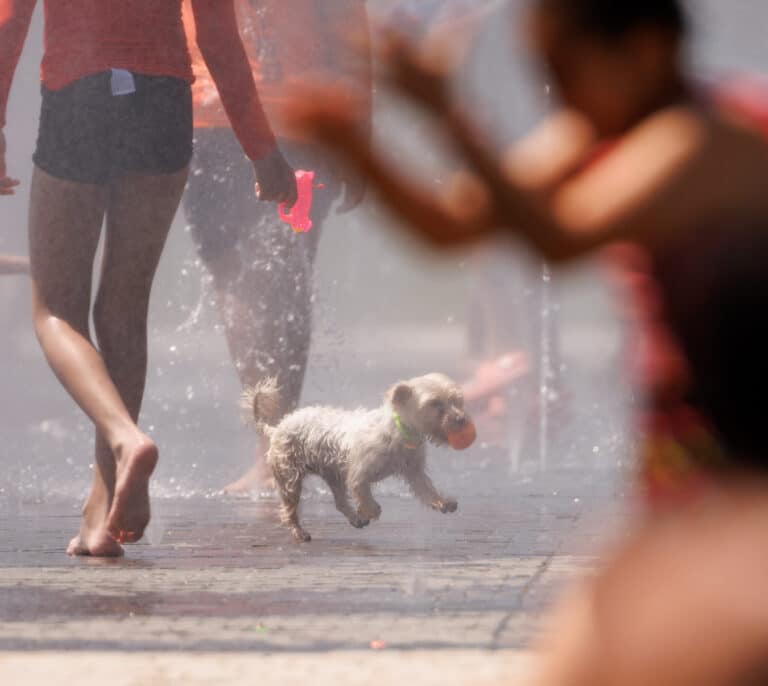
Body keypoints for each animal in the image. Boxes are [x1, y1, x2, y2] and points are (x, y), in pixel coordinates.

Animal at [244, 376, 474, 544]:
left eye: (456, 401)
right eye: (435, 403)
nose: (461, 419)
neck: (398, 433)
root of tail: (277, 428)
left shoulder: (414, 472)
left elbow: (427, 490)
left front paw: (443, 502)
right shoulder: (359, 476)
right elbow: (369, 501)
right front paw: (368, 511)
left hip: (333, 475)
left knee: (339, 502)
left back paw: (354, 519)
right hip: (289, 479)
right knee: (289, 511)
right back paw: (300, 533)